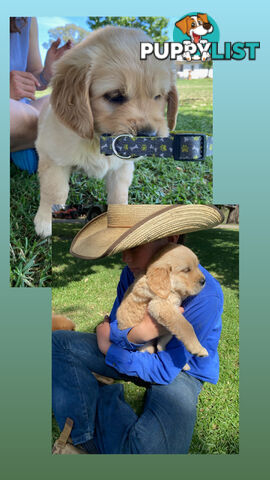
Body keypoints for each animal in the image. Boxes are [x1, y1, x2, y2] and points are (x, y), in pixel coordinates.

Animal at [33, 25, 178, 237]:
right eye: (115, 96)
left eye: (158, 96)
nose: (150, 137)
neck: (97, 139)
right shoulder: (53, 160)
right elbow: (55, 192)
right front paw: (46, 221)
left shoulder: (122, 168)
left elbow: (119, 196)